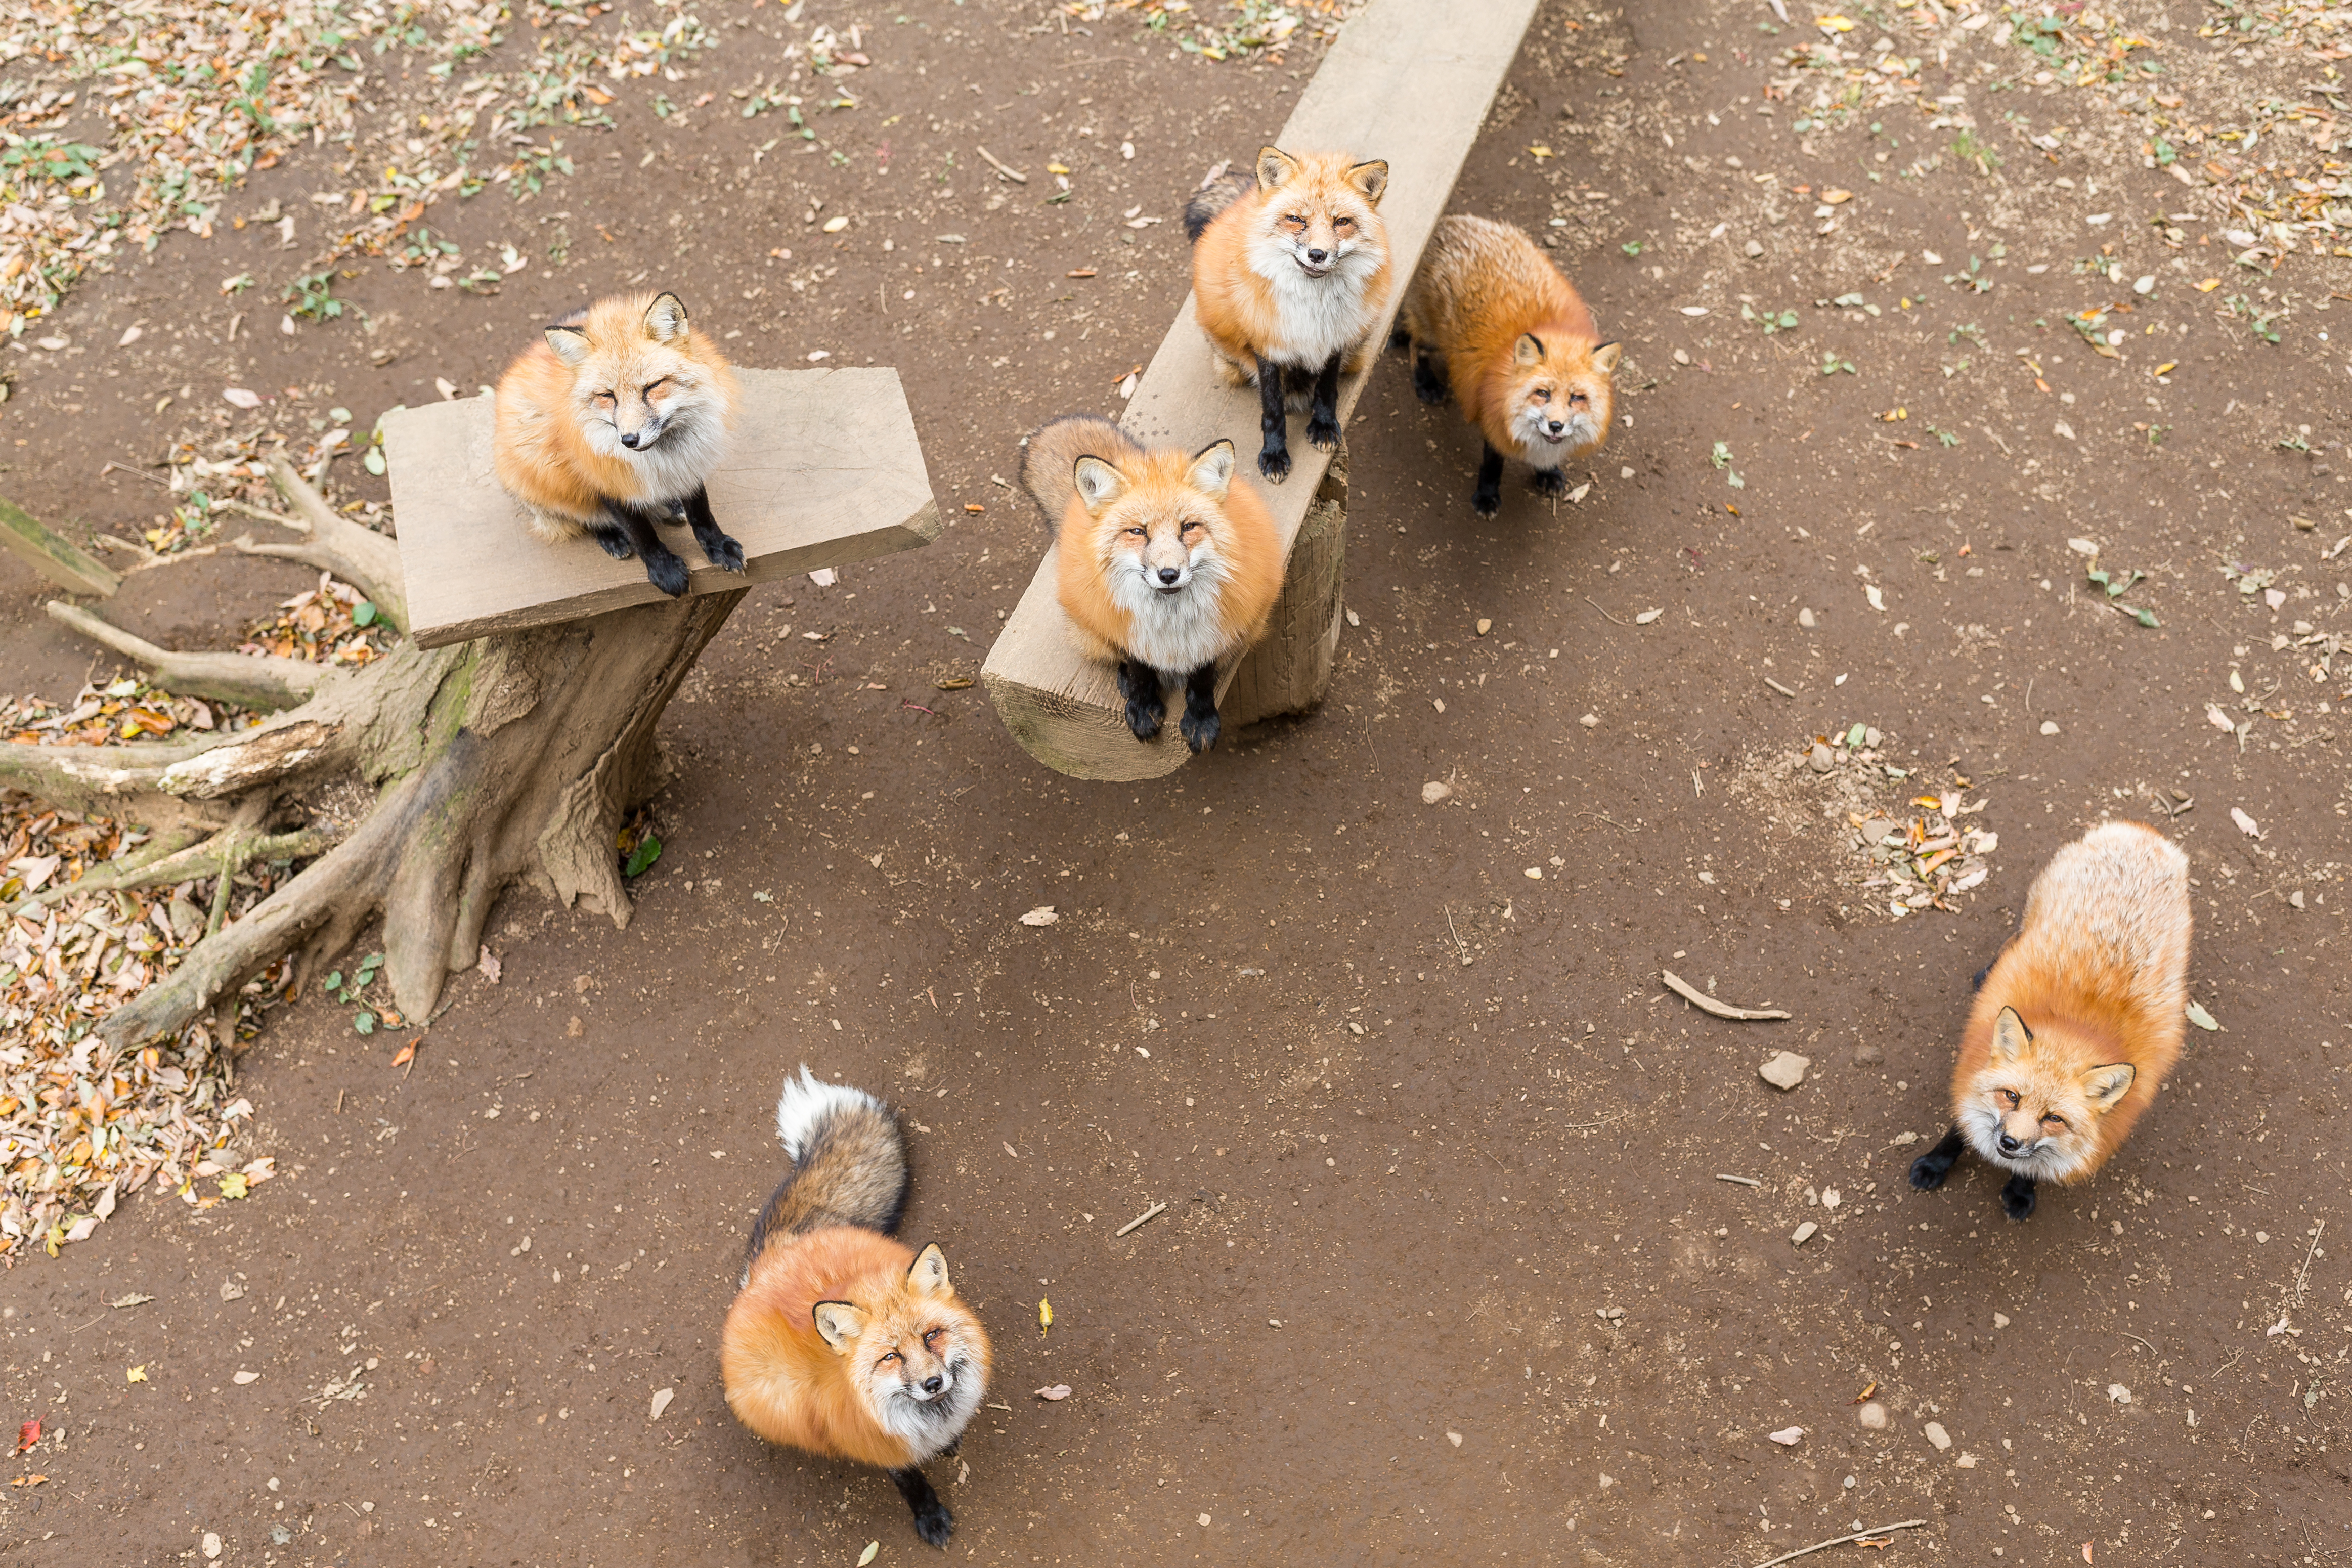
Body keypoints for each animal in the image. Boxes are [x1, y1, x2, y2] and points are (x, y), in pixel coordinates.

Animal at [715, 1067, 992, 1542]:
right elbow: (909, 1479)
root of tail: (781, 1253)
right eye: (890, 1357)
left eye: (932, 1336)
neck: (928, 1419)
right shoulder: (881, 1445)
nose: (933, 1384)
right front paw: (929, 1514)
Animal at [1185, 151, 1383, 491]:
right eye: (1297, 220)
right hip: (1230, 364)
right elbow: (1273, 408)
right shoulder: (1267, 345)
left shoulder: (1336, 338)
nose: (1317, 254)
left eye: (1341, 222)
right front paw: (1275, 454)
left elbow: (1327, 388)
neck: (1313, 311)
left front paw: (1324, 423)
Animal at [1392, 215, 1618, 517]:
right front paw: (1487, 496)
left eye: (1577, 398)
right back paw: (1426, 383)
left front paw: (1547, 473)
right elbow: (1492, 463)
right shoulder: (1492, 412)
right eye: (1542, 393)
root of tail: (1446, 222)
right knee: (1415, 345)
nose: (1556, 426)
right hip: (1433, 339)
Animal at [1900, 822, 2192, 1222]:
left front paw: (2021, 1190)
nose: (2009, 1142)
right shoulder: (1970, 1077)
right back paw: (1985, 975)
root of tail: (2142, 831)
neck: (2076, 1028)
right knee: (2014, 940)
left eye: (2054, 1118)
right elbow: (1957, 1132)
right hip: (2032, 916)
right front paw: (1935, 1164)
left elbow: (2033, 1167)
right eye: (2011, 1096)